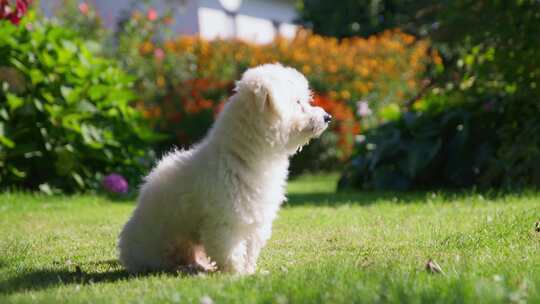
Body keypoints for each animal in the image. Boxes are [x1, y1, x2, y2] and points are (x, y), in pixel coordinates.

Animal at [118, 63, 332, 274]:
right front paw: (235, 273)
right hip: (158, 242)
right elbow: (231, 250)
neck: (240, 155)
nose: (327, 117)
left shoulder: (256, 219)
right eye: (297, 102)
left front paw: (248, 271)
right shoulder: (226, 220)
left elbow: (250, 248)